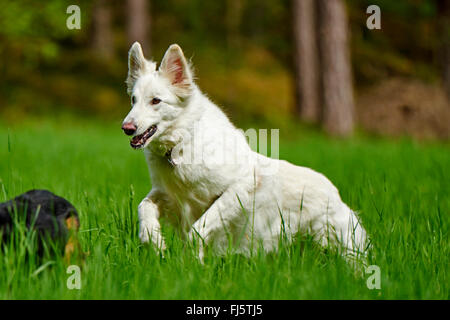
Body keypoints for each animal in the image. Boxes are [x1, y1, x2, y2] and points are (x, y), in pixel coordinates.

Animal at [121, 42, 368, 262]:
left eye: (156, 101)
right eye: (133, 100)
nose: (127, 128)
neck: (182, 143)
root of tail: (336, 195)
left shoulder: (240, 187)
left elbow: (198, 229)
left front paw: (193, 261)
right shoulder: (167, 195)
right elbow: (144, 207)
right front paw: (154, 240)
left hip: (343, 246)